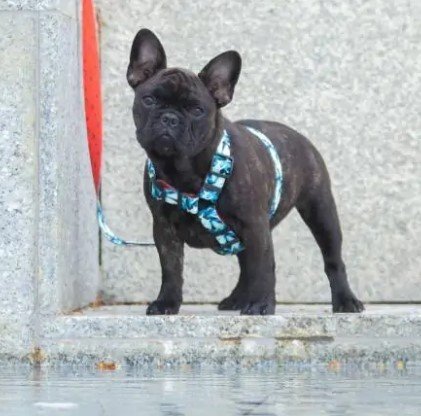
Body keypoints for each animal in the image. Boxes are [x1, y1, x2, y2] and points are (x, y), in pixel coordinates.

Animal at [126, 28, 364, 316]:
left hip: (321, 212)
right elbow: (172, 270)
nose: (170, 118)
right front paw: (166, 303)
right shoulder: (164, 229)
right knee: (244, 266)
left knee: (332, 259)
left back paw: (345, 300)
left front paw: (261, 304)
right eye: (149, 100)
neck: (183, 170)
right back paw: (238, 299)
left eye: (197, 110)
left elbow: (263, 267)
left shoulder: (254, 225)